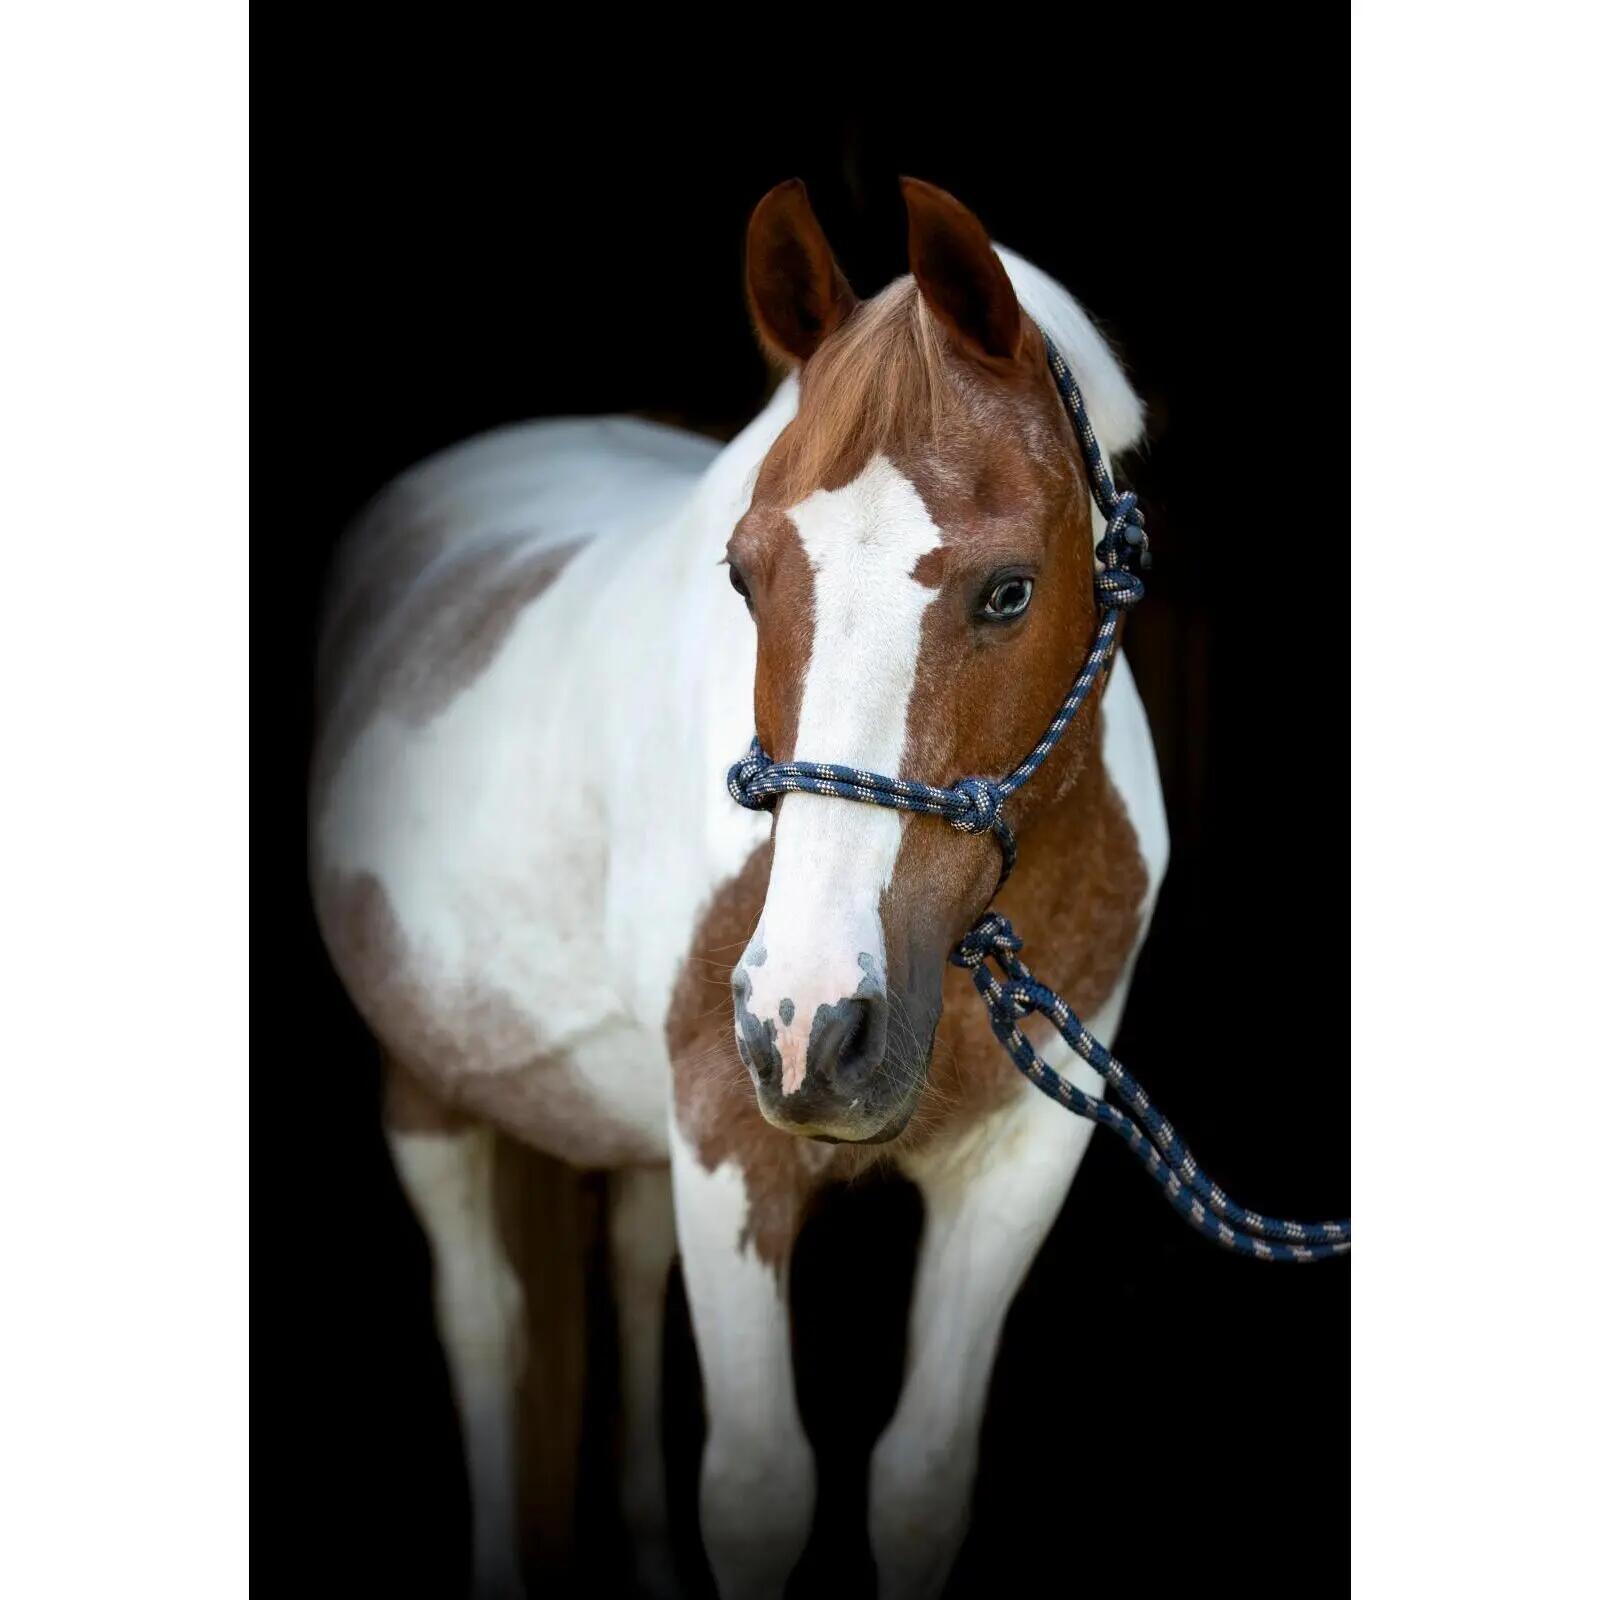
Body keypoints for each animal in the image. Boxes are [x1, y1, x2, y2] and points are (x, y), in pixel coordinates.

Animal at [309, 176, 1168, 1600]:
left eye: (1008, 590)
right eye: (744, 575)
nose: (808, 1022)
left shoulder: (1022, 1156)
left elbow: (917, 1484)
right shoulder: (728, 1131)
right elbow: (759, 1492)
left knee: (624, 1265)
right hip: (429, 1081)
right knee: (486, 1326)